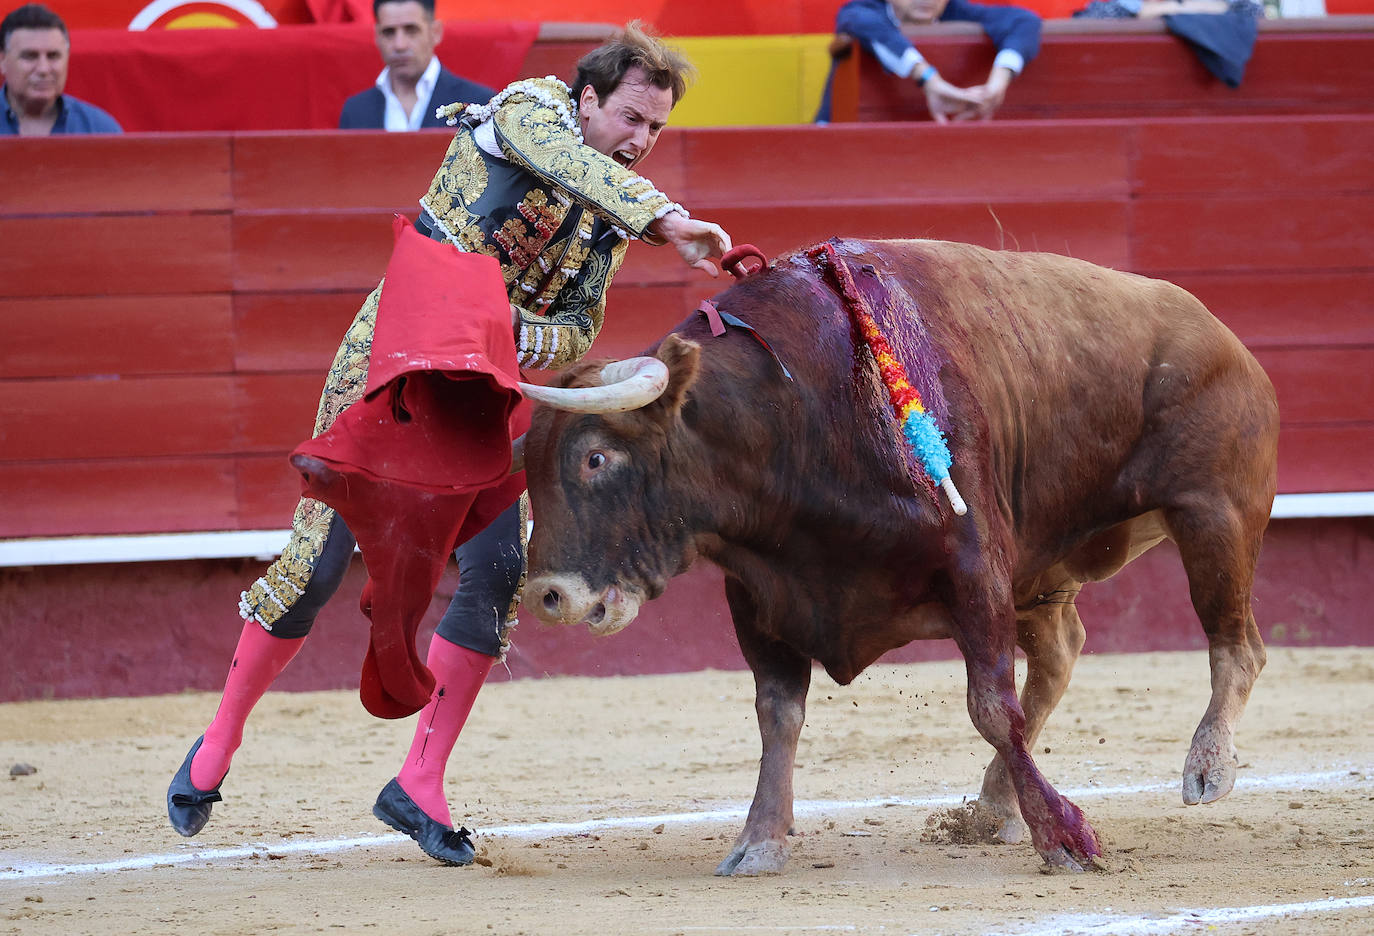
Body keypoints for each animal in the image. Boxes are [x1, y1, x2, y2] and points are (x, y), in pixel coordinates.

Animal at [516, 235, 1275, 874]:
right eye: (529, 468)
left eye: (595, 457)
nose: (546, 594)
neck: (796, 408)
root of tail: (1225, 337)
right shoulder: (760, 592)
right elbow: (777, 714)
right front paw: (758, 842)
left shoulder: (976, 569)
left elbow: (990, 707)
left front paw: (1065, 840)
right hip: (1045, 569)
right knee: (1063, 652)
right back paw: (994, 805)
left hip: (1214, 515)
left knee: (1236, 644)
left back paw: (1207, 769)